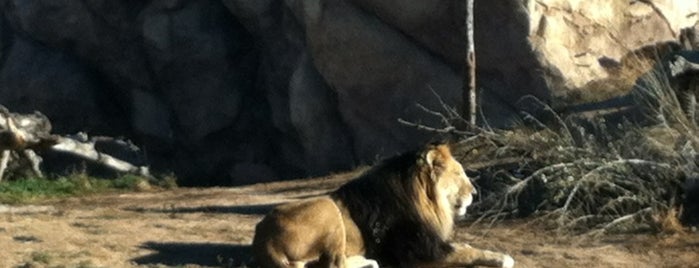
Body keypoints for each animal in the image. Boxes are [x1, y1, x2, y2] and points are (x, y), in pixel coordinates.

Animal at [252, 143, 516, 268]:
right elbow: (468, 251)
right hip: (328, 209)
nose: (474, 192)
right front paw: (503, 258)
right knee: (334, 264)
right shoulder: (420, 250)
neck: (427, 201)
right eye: (459, 174)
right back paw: (369, 261)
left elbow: (464, 246)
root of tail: (263, 240)